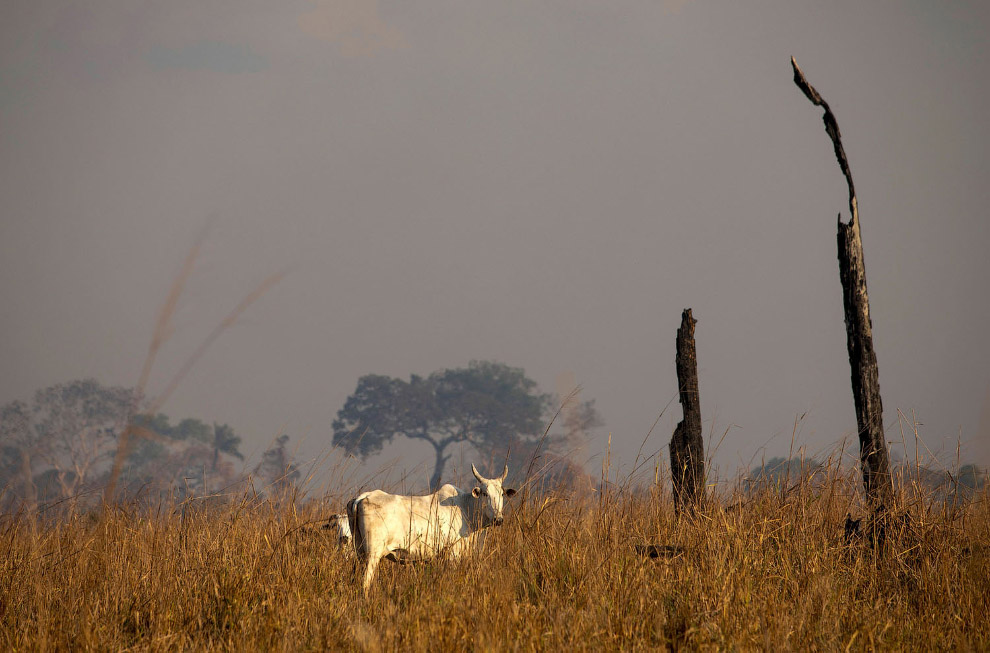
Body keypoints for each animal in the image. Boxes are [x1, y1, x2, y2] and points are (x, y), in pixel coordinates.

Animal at [348, 460, 520, 592]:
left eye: (502, 494)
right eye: (485, 493)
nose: (498, 519)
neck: (466, 509)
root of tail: (363, 497)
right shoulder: (453, 555)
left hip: (360, 553)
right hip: (372, 555)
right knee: (365, 583)